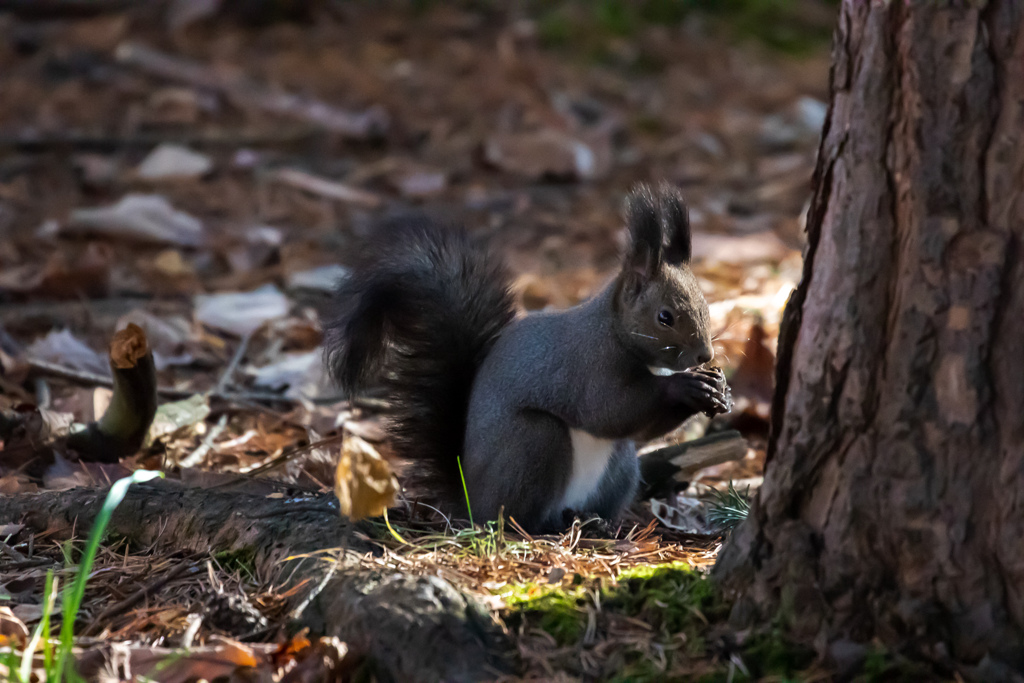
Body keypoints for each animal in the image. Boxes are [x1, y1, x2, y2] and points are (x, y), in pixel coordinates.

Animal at [323, 183, 733, 532]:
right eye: (665, 317)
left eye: (704, 305)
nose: (705, 354)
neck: (614, 331)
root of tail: (471, 500)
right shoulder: (589, 366)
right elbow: (610, 410)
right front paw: (686, 386)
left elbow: (640, 429)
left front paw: (716, 388)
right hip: (535, 444)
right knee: (517, 517)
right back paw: (550, 525)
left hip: (621, 467)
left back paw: (596, 522)